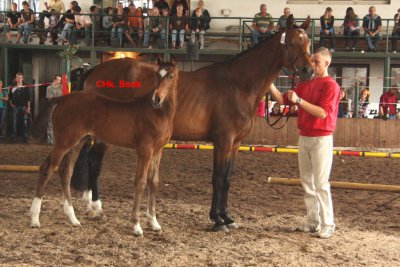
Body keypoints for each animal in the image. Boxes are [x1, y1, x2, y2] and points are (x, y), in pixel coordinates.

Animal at [28, 57, 178, 236]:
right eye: (157, 76)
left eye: (170, 76)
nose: (157, 98)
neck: (157, 113)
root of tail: (63, 99)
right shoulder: (145, 149)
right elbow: (140, 182)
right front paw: (136, 225)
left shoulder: (158, 150)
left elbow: (153, 181)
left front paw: (154, 222)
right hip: (64, 142)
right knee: (47, 168)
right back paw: (35, 219)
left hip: (78, 142)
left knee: (66, 171)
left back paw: (73, 218)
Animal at [72, 15, 316, 232]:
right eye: (292, 43)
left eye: (308, 43)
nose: (309, 71)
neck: (238, 84)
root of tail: (95, 70)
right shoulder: (223, 140)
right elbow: (218, 178)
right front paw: (217, 220)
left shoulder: (235, 143)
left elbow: (228, 178)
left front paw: (228, 217)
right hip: (104, 136)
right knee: (94, 164)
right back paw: (96, 207)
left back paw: (91, 206)